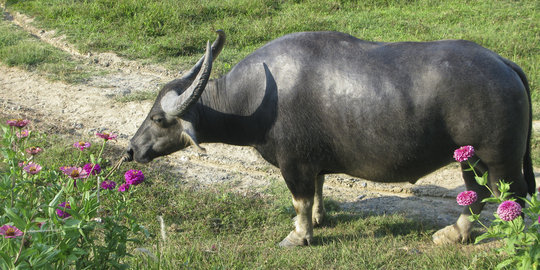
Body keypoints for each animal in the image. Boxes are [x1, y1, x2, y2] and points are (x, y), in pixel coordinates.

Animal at [124, 30, 532, 247]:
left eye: (158, 118)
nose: (131, 149)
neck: (254, 99)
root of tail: (504, 64)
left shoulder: (293, 164)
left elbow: (300, 199)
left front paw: (298, 235)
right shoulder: (312, 163)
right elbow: (319, 190)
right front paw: (320, 219)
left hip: (493, 159)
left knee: (507, 197)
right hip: (470, 159)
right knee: (479, 195)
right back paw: (454, 234)